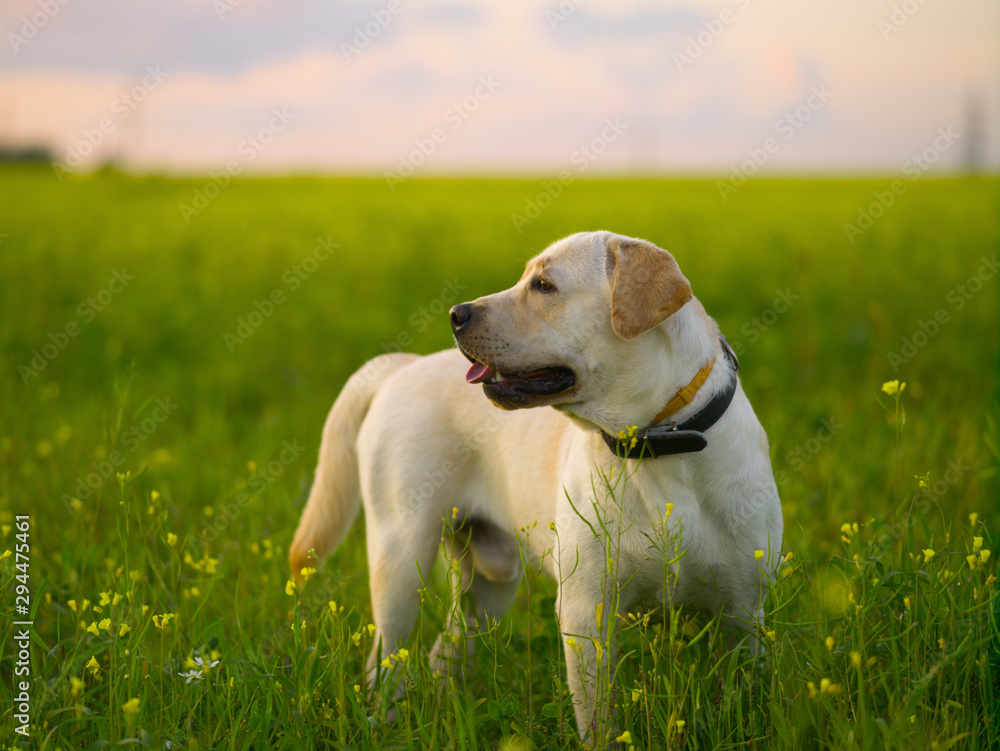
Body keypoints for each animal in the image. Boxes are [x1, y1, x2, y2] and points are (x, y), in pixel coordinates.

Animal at [292, 231, 784, 748]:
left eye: (544, 286)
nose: (455, 314)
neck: (661, 443)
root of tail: (404, 366)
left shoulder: (744, 612)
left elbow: (742, 697)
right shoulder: (587, 614)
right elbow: (599, 720)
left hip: (489, 582)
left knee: (444, 651)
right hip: (401, 562)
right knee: (385, 662)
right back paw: (386, 724)